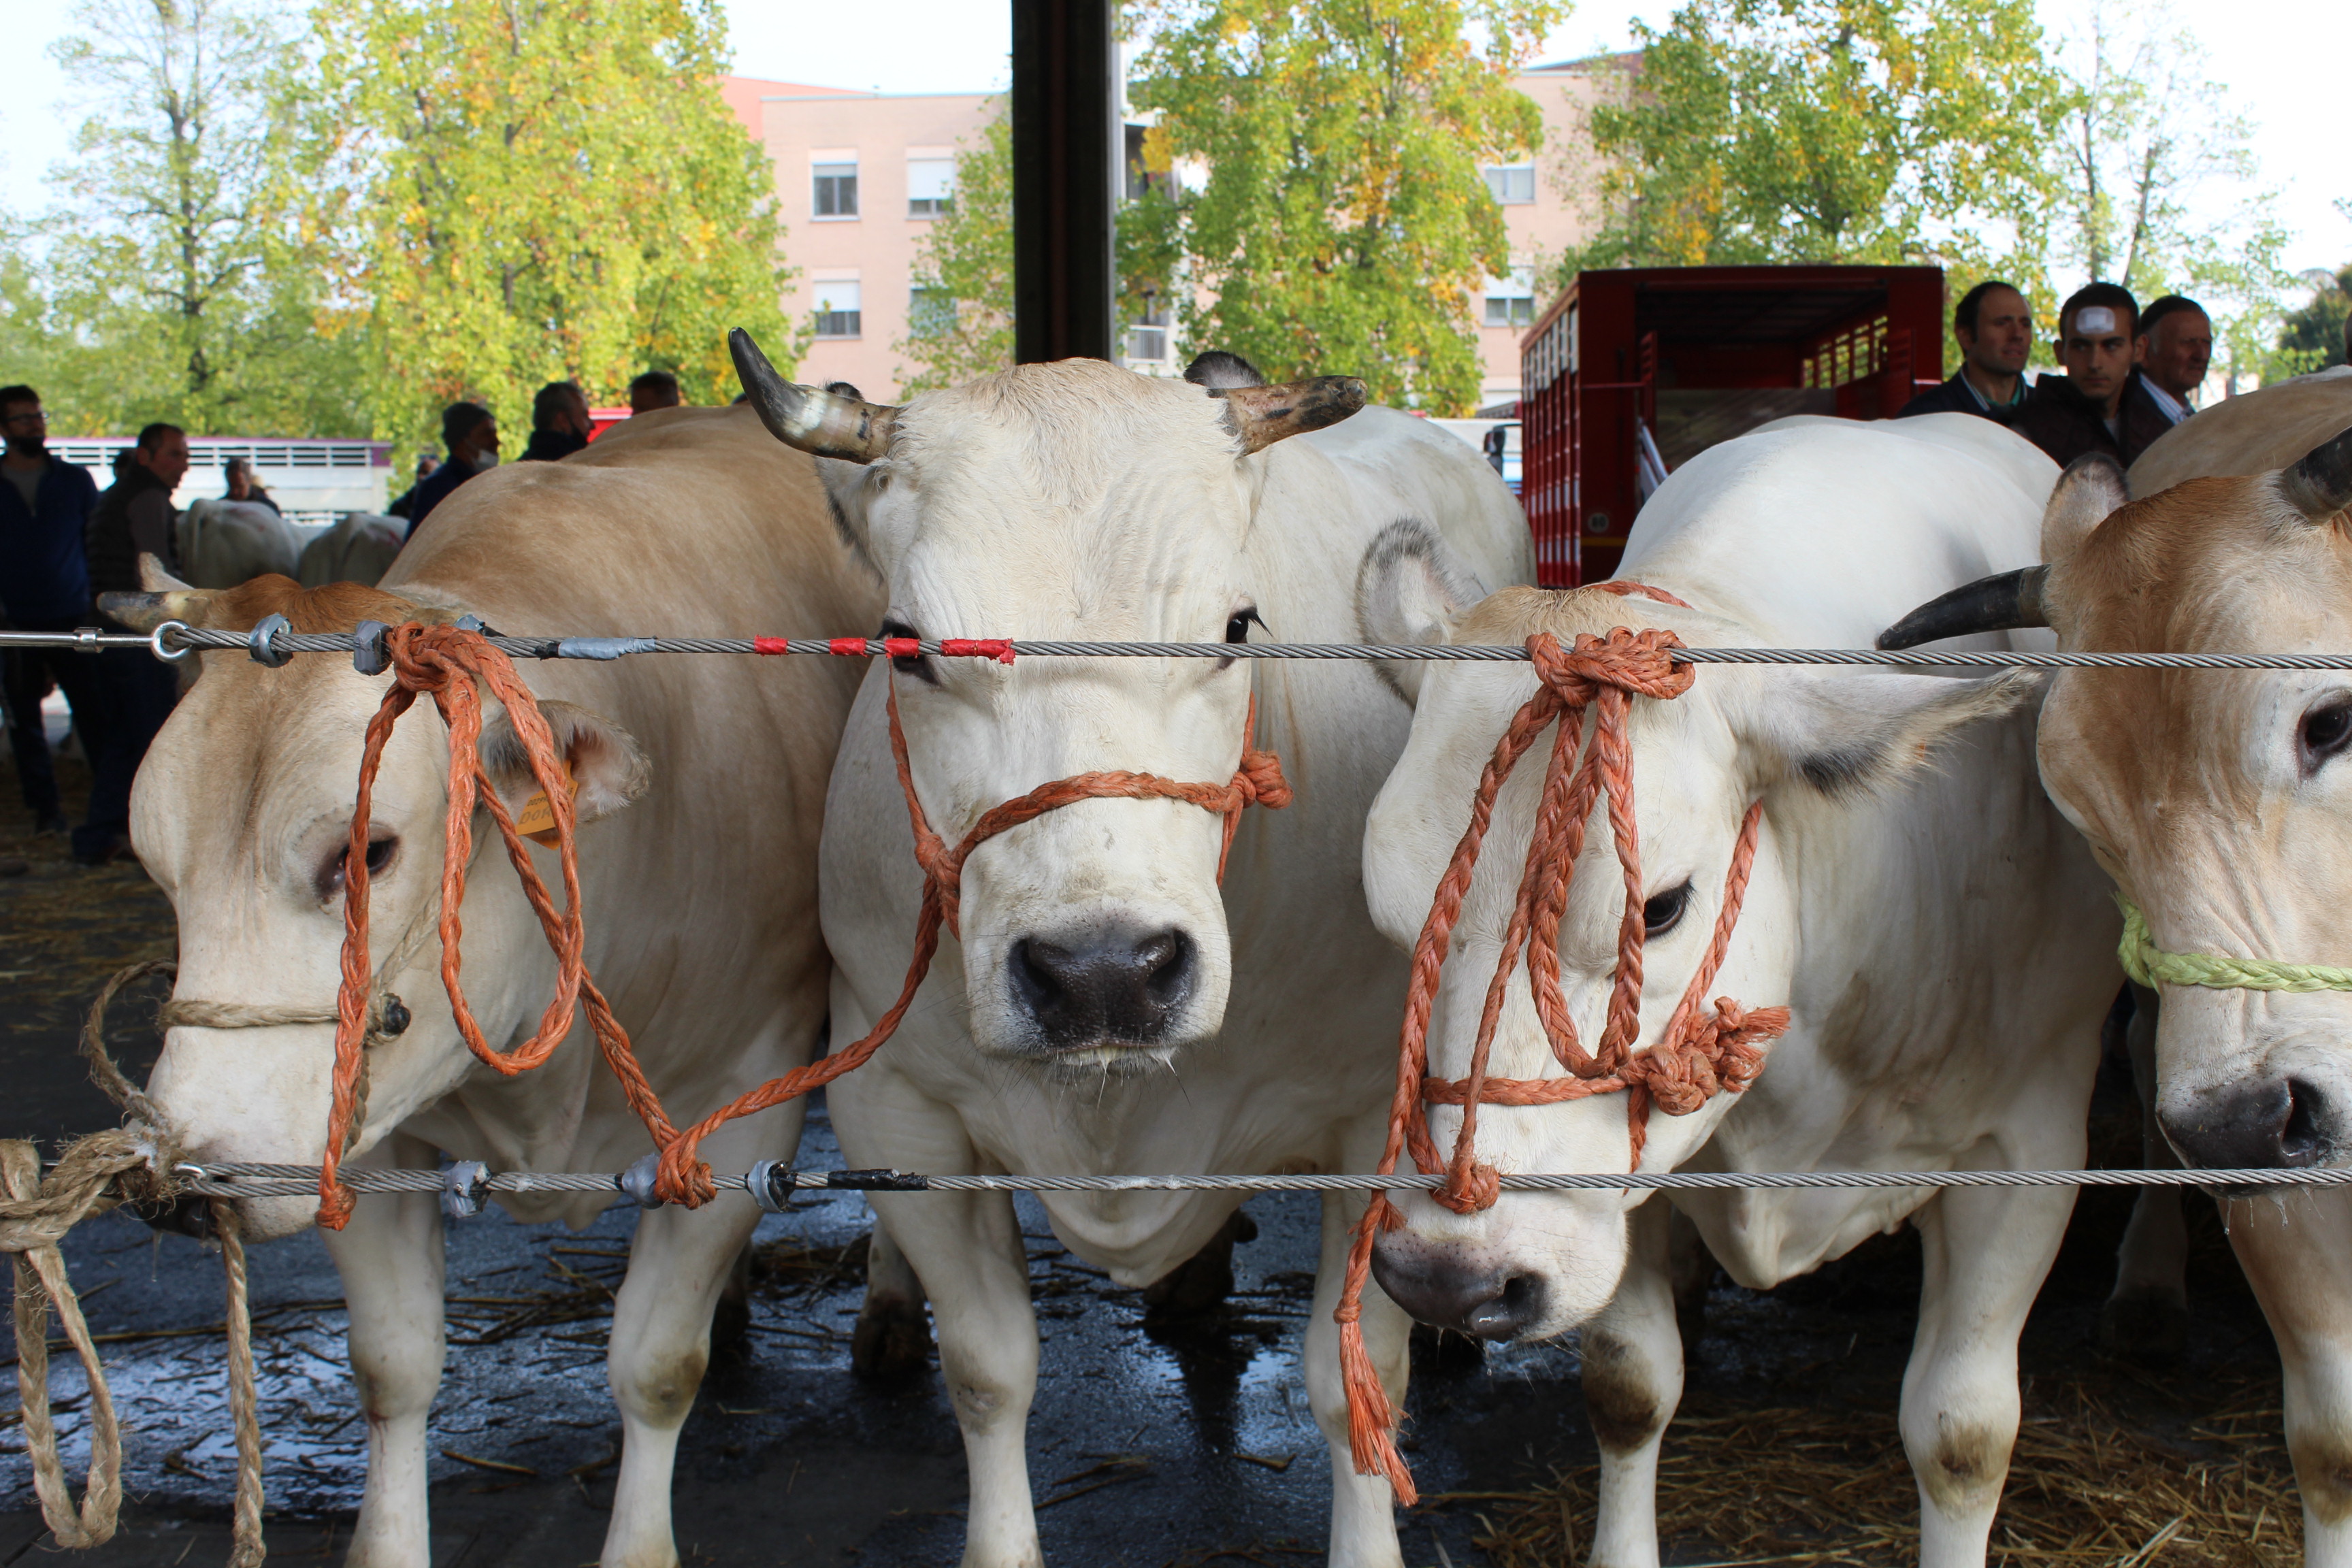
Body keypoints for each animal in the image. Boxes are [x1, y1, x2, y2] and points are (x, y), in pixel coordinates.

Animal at [734, 333, 1533, 1568]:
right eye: (907, 648)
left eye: (1236, 627)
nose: (1102, 969)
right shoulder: (893, 1104)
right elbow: (990, 1368)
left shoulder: (1371, 1118)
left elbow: (1353, 1379)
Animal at [1354, 416, 2126, 1568]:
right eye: (1392, 911)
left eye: (1662, 906)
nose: (1454, 1279)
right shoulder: (1628, 1180)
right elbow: (1629, 1388)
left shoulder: (2029, 1146)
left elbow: (1963, 1435)